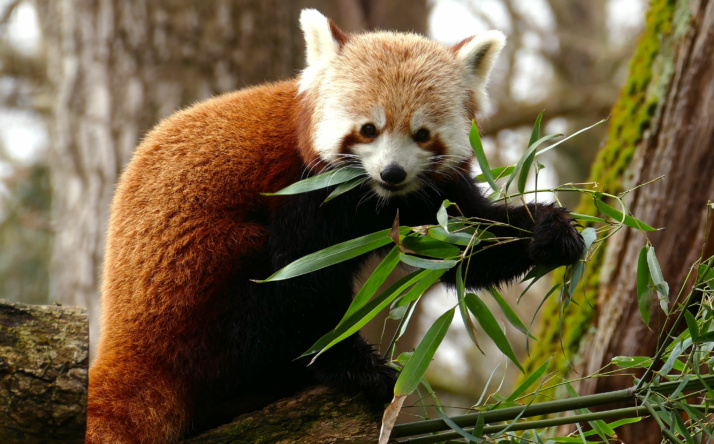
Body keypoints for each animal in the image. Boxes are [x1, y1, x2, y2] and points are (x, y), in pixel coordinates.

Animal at [86, 8, 580, 442]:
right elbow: (302, 283)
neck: (373, 198)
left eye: (422, 135)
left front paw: (551, 230)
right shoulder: (303, 189)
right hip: (200, 295)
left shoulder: (427, 196)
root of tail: (125, 344)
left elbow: (465, 246)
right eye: (368, 129)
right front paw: (358, 367)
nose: (392, 173)